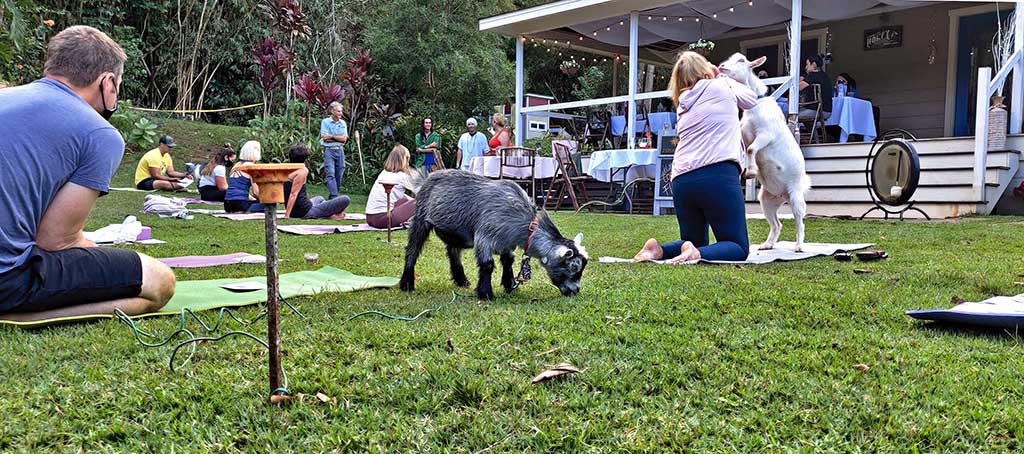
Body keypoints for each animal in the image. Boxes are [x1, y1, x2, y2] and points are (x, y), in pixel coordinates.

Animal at [397, 169, 589, 301]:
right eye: (574, 267)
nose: (575, 290)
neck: (523, 224)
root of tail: (426, 179)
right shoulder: (484, 237)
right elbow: (487, 265)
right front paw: (486, 294)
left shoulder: (506, 243)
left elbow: (507, 261)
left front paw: (509, 284)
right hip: (420, 219)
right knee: (412, 250)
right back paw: (407, 283)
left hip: (456, 233)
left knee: (453, 252)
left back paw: (461, 280)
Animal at [716, 54, 811, 252]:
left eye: (741, 60)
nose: (722, 66)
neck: (755, 105)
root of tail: (783, 196)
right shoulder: (744, 135)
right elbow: (746, 150)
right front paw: (746, 171)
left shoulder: (766, 134)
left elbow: (752, 148)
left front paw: (751, 172)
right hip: (766, 200)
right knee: (777, 224)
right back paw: (767, 245)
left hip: (796, 196)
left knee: (799, 221)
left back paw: (799, 246)